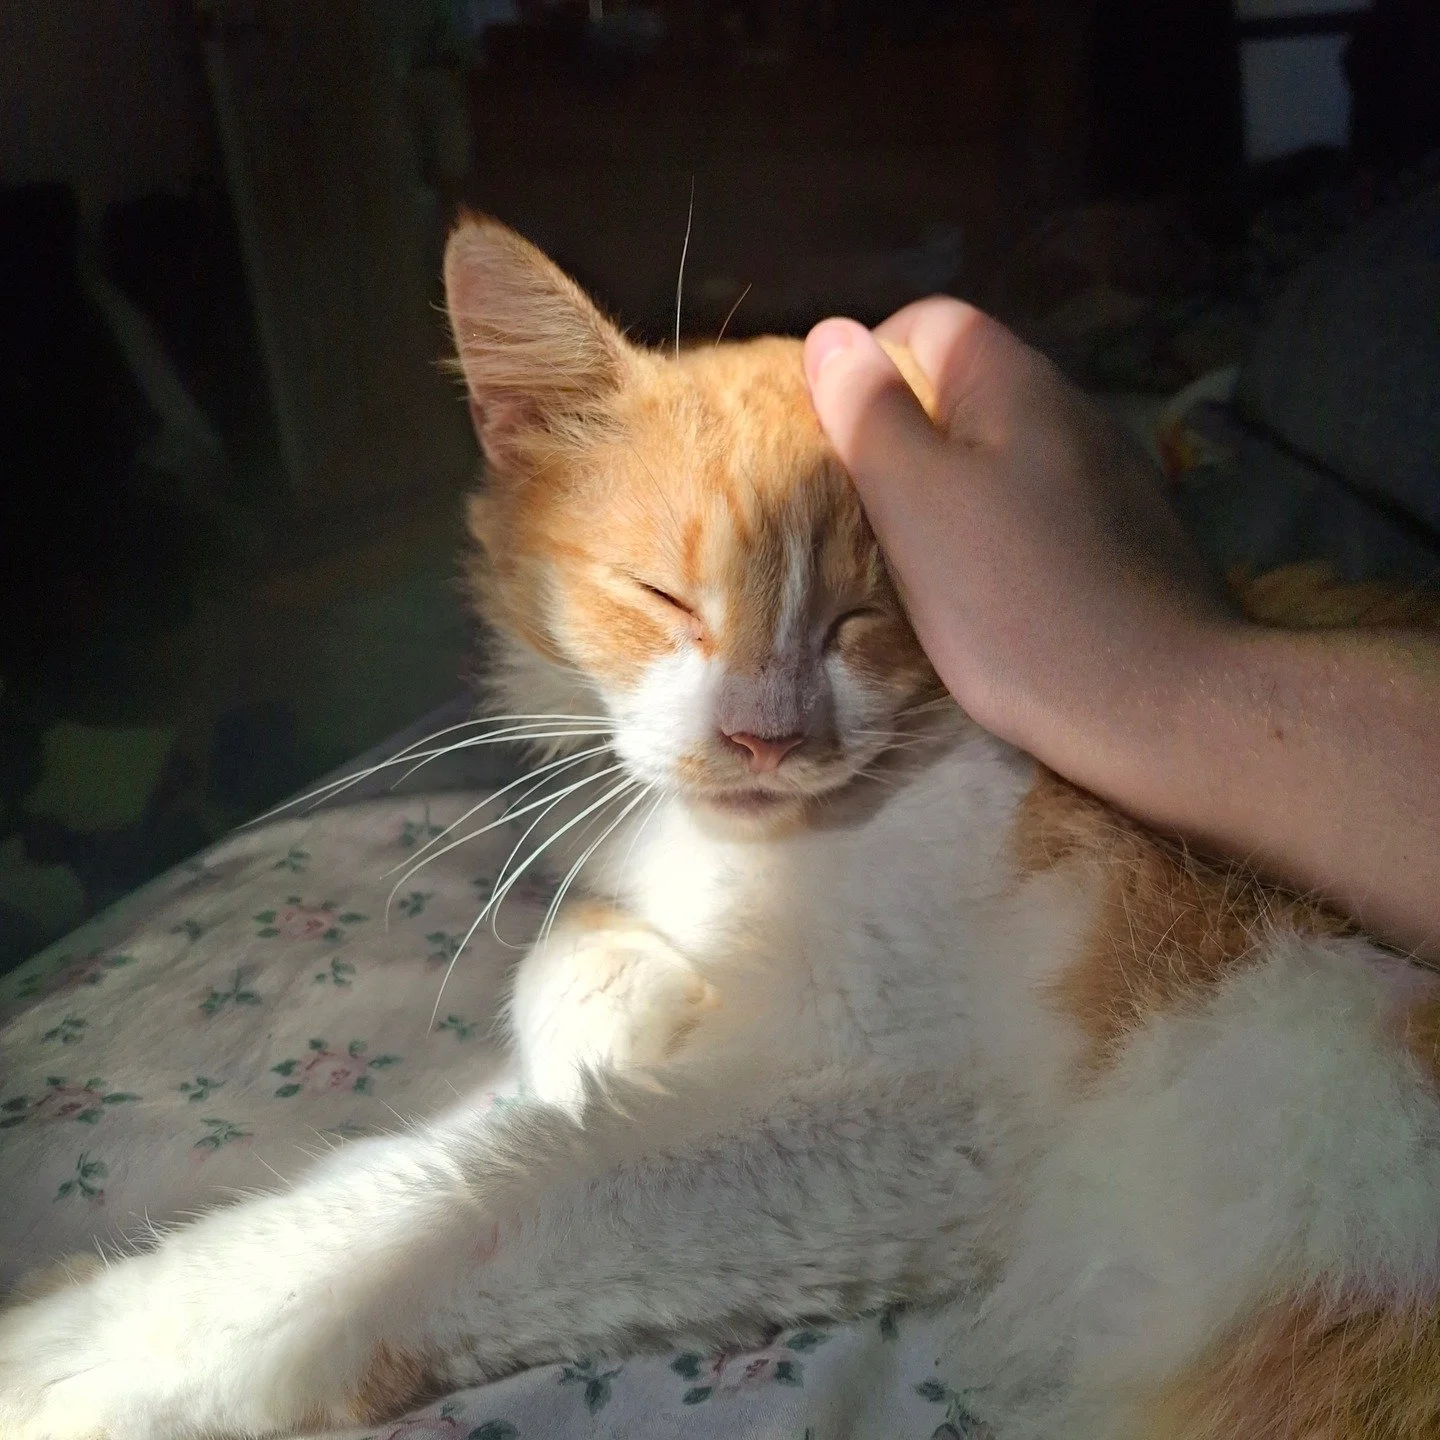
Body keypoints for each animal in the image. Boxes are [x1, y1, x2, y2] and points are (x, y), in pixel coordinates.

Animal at [3, 215, 1440, 1440]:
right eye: (662, 597)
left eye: (866, 619)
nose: (764, 735)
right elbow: (561, 996)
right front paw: (624, 1006)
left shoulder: (919, 1109)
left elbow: (476, 1200)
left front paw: (97, 1348)